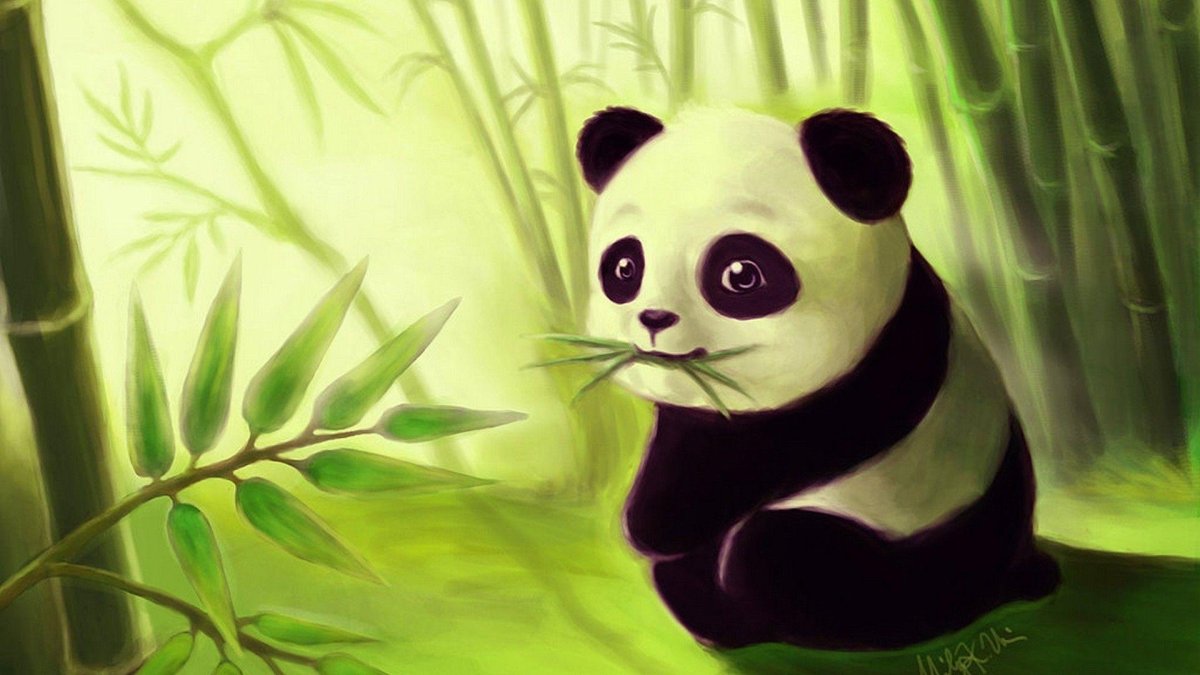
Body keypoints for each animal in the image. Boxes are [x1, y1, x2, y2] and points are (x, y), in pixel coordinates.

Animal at [574, 106, 1060, 650]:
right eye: (624, 266)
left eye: (741, 274)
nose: (654, 319)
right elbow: (684, 442)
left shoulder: (871, 377)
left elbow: (760, 456)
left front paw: (650, 527)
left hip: (920, 541)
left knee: (790, 558)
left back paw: (720, 614)